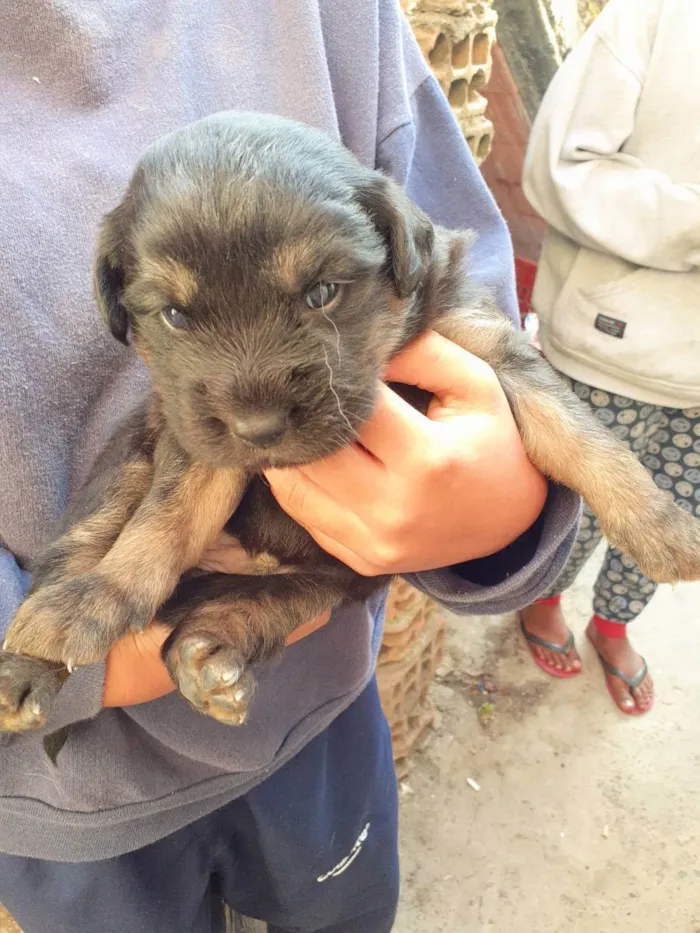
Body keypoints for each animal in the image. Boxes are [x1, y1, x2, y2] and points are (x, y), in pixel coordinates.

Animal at [1, 111, 700, 736]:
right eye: (175, 315)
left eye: (321, 293)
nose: (259, 428)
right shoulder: (194, 438)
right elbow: (163, 521)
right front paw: (101, 599)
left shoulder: (485, 347)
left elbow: (580, 435)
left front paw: (662, 529)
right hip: (127, 474)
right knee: (87, 542)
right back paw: (32, 661)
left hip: (328, 583)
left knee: (253, 613)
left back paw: (209, 654)